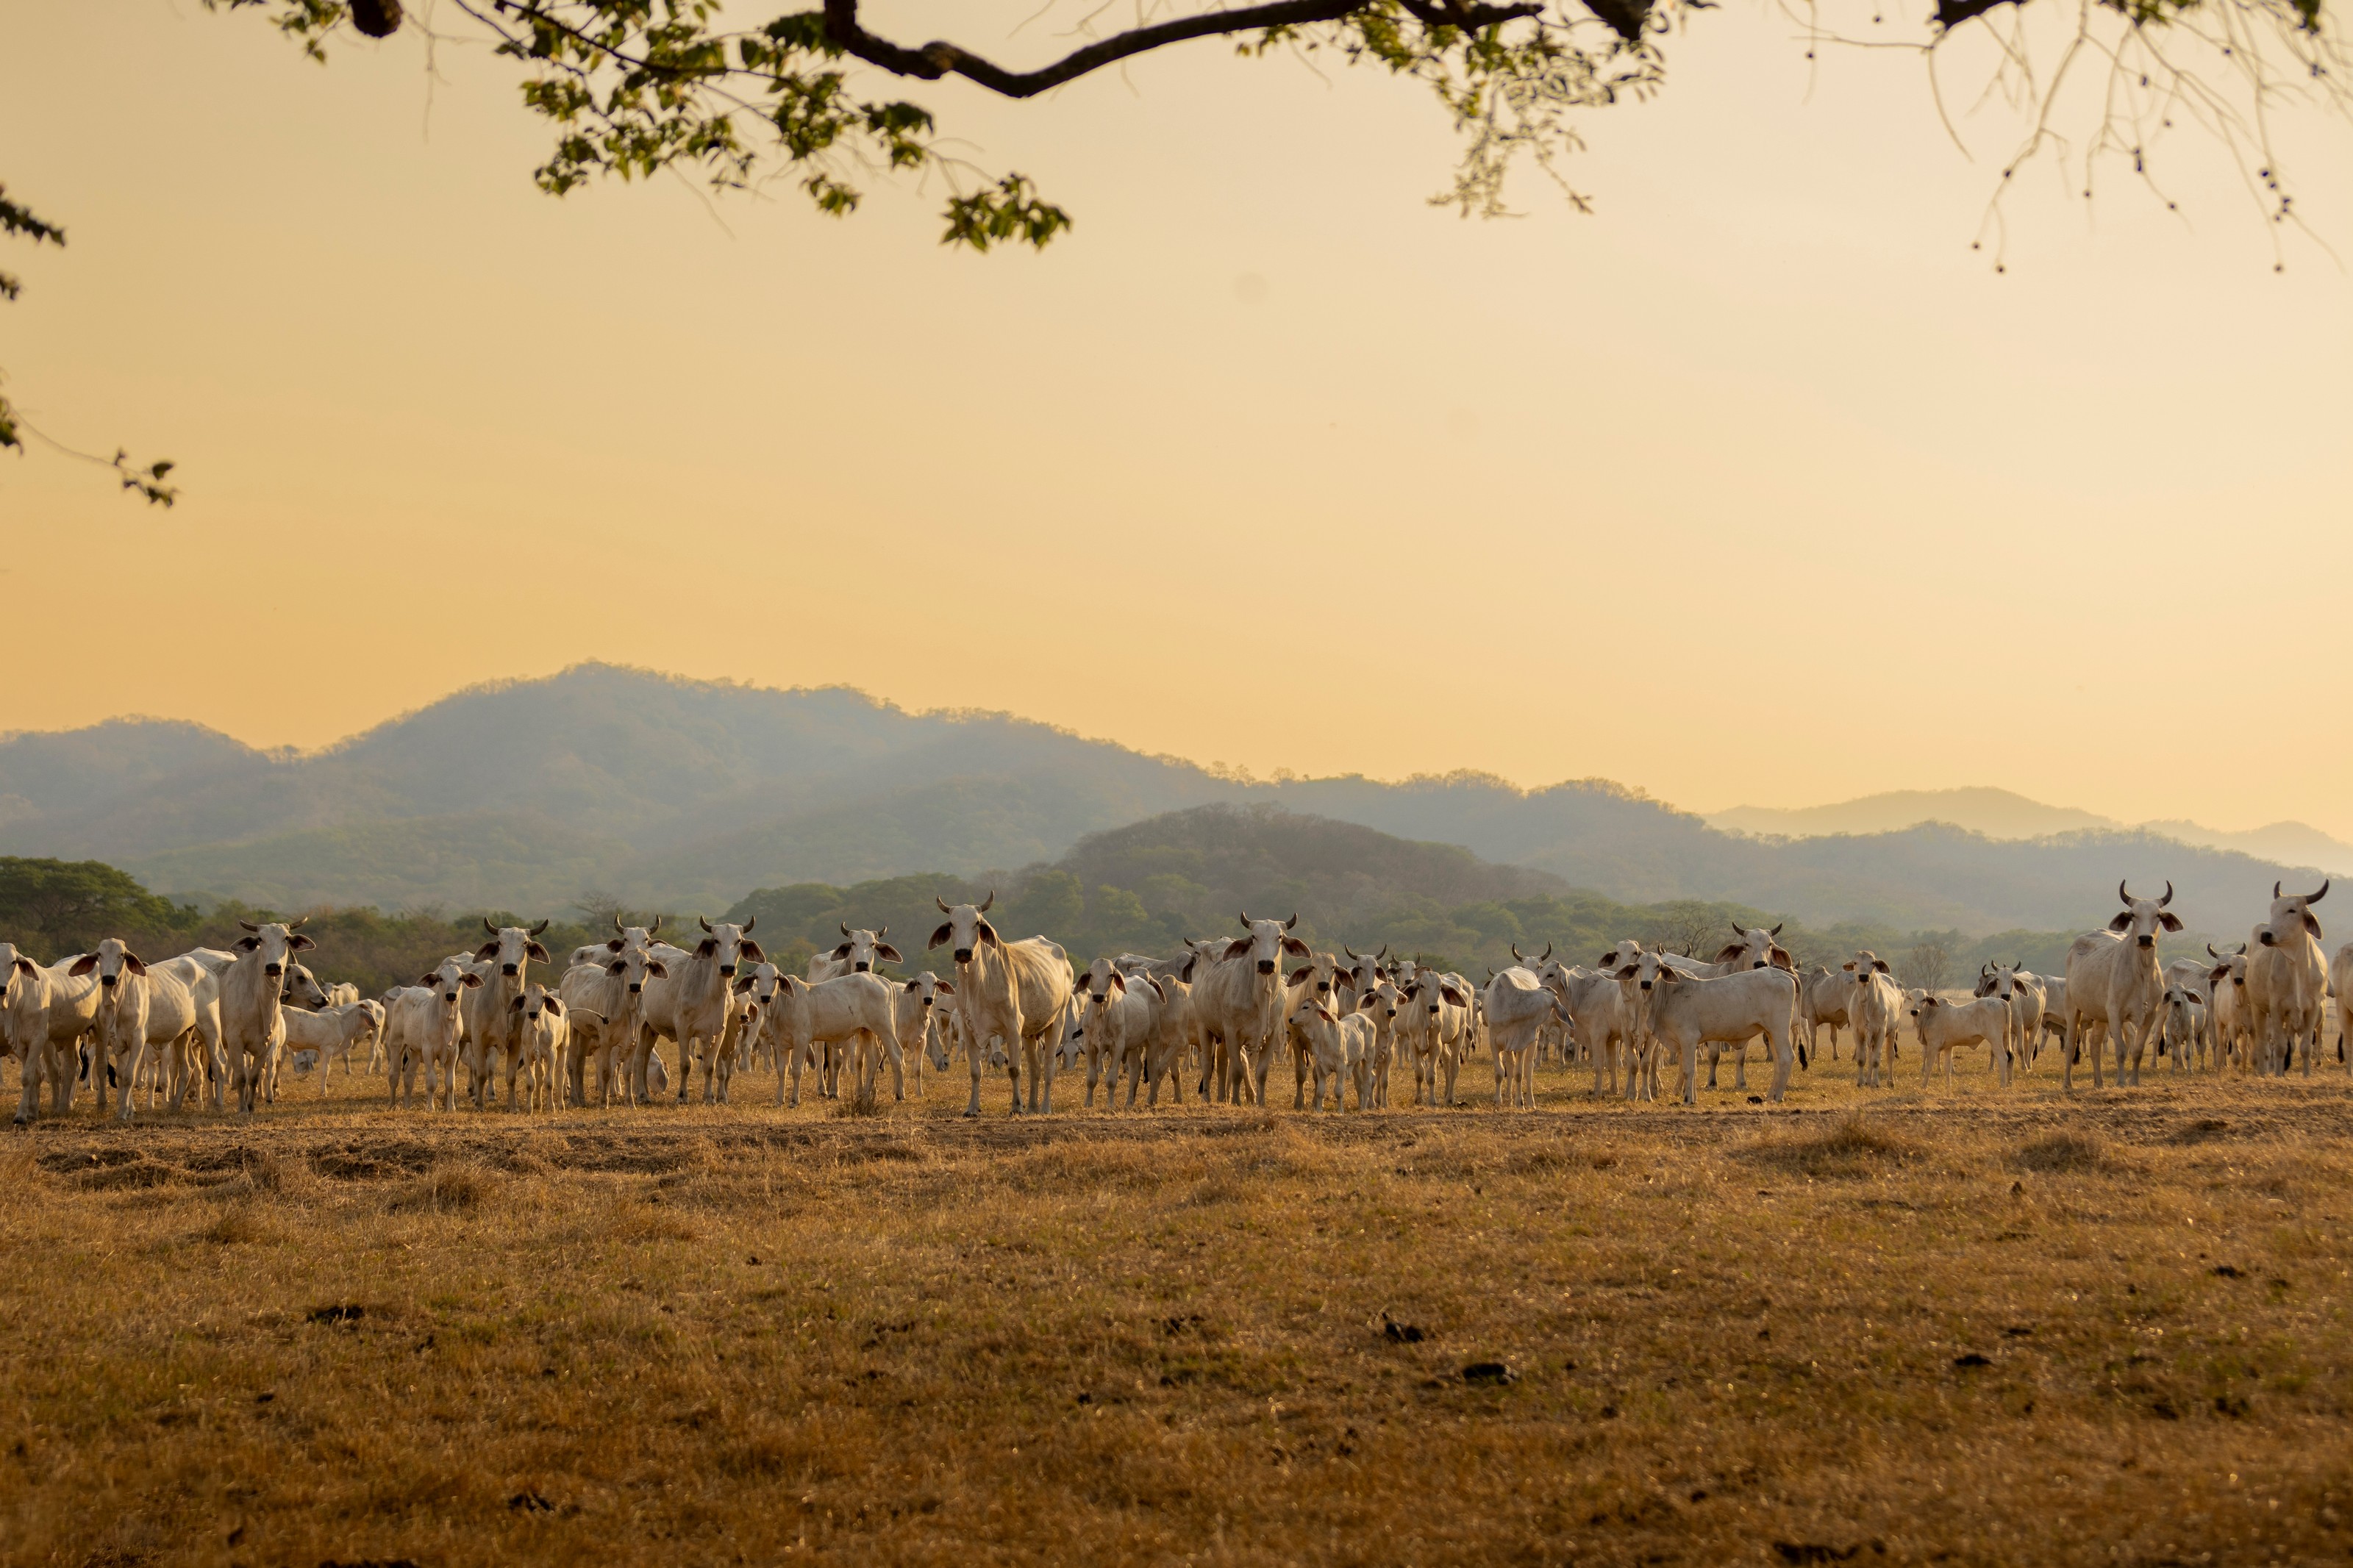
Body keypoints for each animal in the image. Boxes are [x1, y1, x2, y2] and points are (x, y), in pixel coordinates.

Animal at [2062, 881, 2181, 1089]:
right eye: (2133, 914)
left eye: (2158, 915)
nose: (2145, 939)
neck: (2141, 973)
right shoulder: (2114, 1012)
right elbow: (2121, 1050)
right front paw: (2121, 1082)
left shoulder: (2150, 1014)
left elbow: (2138, 1051)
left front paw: (2134, 1081)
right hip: (2073, 1006)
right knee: (2070, 1044)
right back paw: (2067, 1084)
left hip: (2099, 1015)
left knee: (2094, 1044)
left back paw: (2099, 1083)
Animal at [2248, 880, 2329, 1076]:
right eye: (2272, 910)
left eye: (2292, 910)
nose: (2266, 935)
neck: (2297, 966)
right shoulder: (2276, 1007)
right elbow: (2279, 1047)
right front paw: (2278, 1076)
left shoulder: (2312, 1008)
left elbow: (2305, 1047)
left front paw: (2307, 1075)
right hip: (2257, 1008)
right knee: (2262, 1042)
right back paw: (2263, 1073)